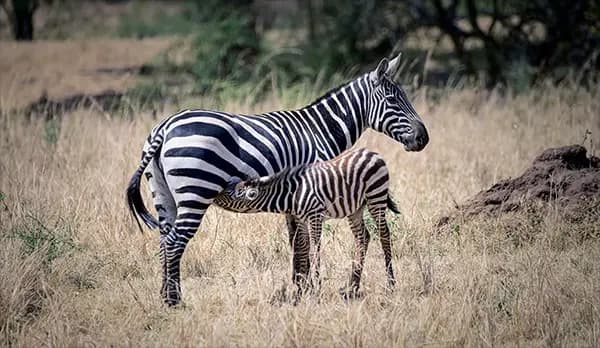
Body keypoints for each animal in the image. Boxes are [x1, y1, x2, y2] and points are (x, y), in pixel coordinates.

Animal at [216, 148, 398, 298]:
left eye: (232, 194)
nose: (215, 193)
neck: (291, 196)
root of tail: (372, 153)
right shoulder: (301, 220)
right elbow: (302, 247)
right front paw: (305, 288)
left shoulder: (314, 216)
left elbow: (313, 251)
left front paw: (316, 288)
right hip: (356, 208)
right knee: (363, 238)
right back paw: (352, 287)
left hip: (376, 197)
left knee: (384, 234)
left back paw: (390, 285)